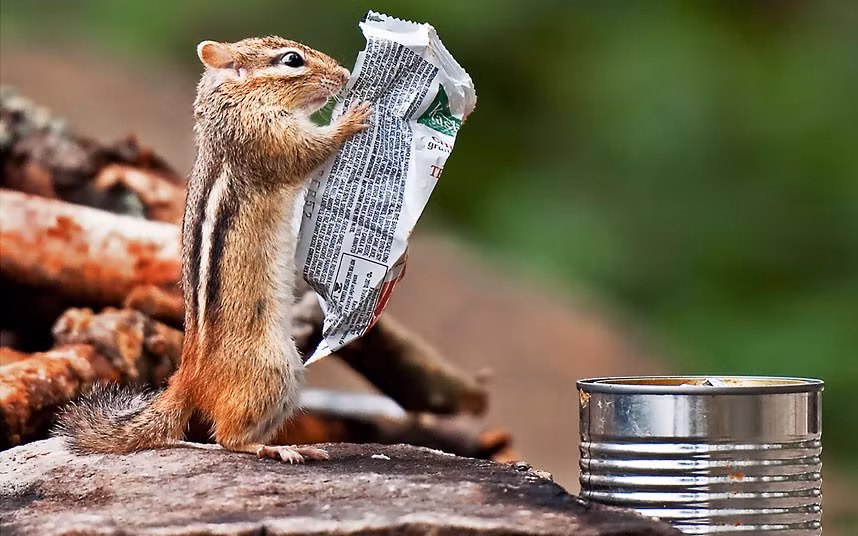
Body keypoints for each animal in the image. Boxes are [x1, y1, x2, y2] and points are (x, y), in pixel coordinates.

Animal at [54, 36, 372, 463]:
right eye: (292, 60)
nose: (344, 74)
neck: (236, 102)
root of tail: (188, 376)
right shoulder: (266, 138)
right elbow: (307, 152)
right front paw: (353, 119)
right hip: (272, 369)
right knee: (227, 438)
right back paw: (273, 448)